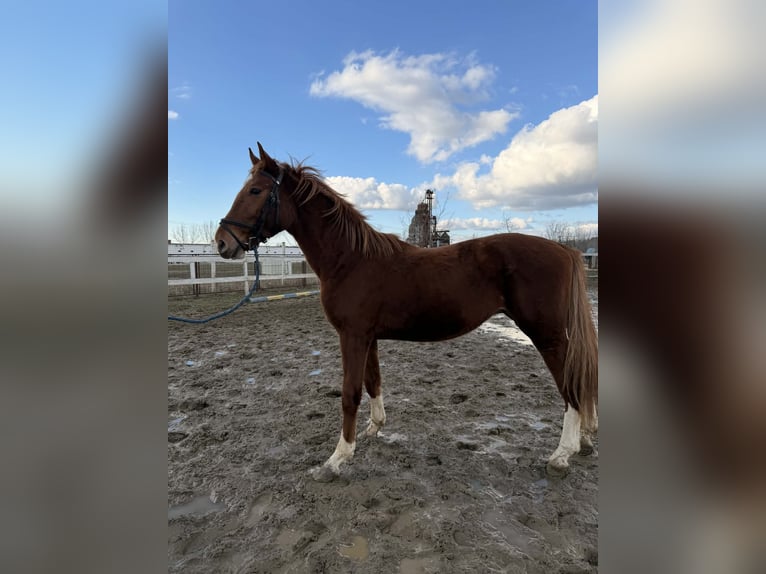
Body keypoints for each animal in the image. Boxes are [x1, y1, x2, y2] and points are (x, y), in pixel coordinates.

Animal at [215, 143, 598, 482]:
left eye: (255, 190)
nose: (222, 241)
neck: (351, 259)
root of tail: (565, 251)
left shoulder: (352, 336)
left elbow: (350, 394)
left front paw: (337, 459)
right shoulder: (367, 338)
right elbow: (373, 382)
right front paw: (374, 428)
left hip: (547, 335)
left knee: (571, 386)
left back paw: (562, 455)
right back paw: (583, 442)